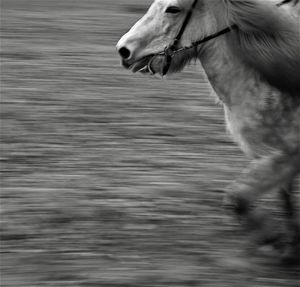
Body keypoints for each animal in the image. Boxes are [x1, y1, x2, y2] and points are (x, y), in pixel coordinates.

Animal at [116, 0, 300, 260]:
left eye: (173, 9)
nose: (123, 50)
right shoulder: (274, 157)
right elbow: (284, 201)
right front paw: (289, 246)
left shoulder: (286, 155)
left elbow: (238, 198)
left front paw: (271, 239)